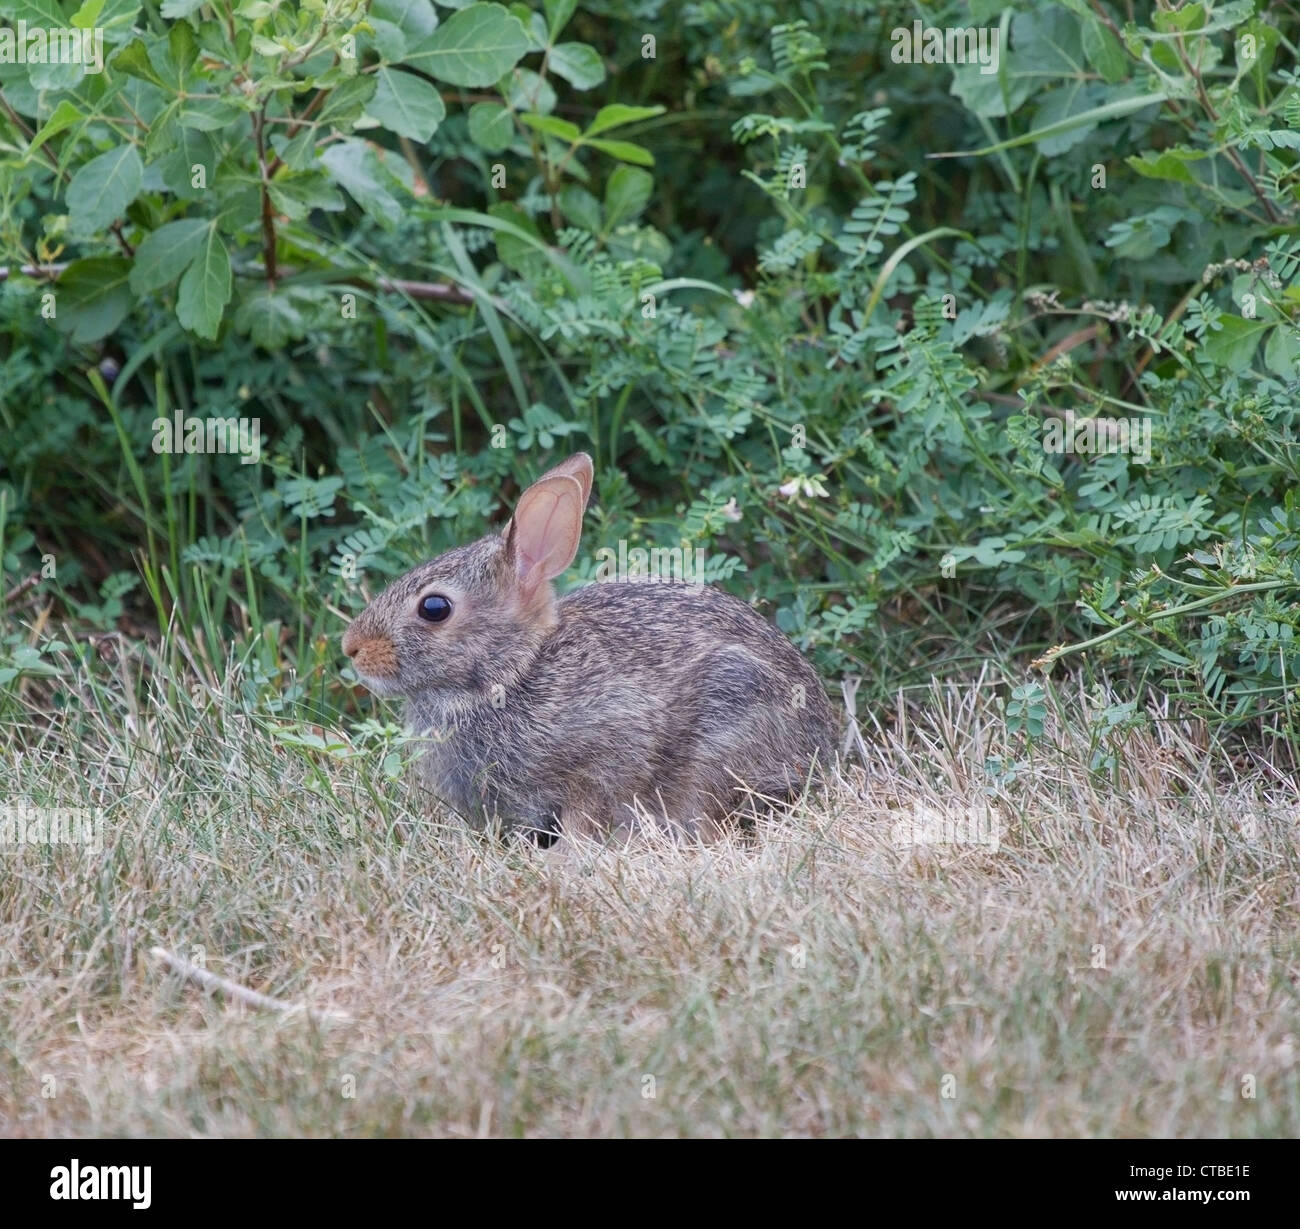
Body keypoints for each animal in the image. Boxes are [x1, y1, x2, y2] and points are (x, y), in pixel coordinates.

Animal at [340, 449, 837, 842]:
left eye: (435, 608)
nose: (352, 648)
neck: (511, 672)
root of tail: (823, 748)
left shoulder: (606, 751)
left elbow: (589, 811)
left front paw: (563, 859)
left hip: (728, 716)